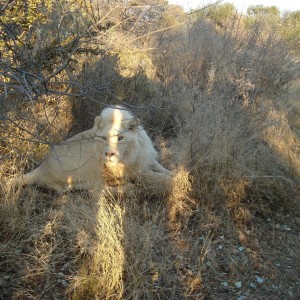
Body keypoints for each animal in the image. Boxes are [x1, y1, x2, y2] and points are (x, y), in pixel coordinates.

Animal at [18, 105, 172, 195]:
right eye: (104, 138)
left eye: (120, 138)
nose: (109, 154)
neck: (131, 152)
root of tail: (41, 168)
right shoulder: (135, 172)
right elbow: (157, 177)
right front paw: (175, 179)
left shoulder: (145, 159)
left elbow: (162, 169)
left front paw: (173, 171)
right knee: (97, 190)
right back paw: (126, 187)